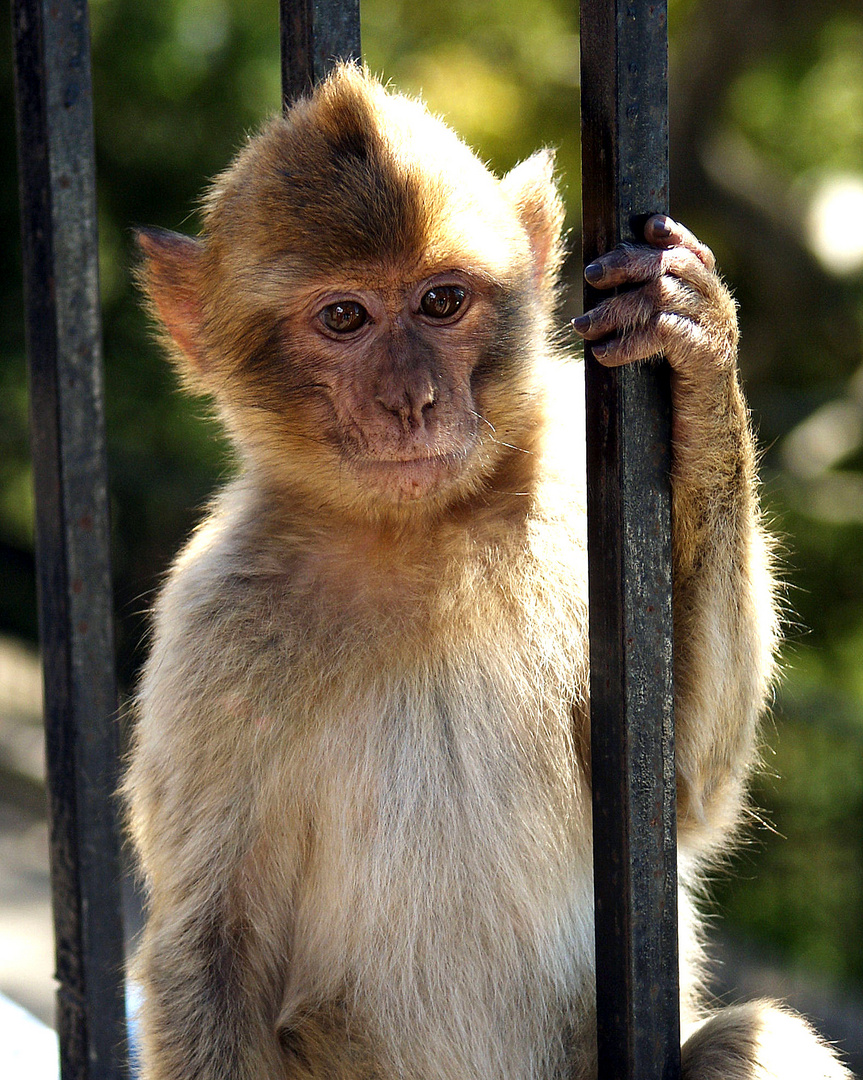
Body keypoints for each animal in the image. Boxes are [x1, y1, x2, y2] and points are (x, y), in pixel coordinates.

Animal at [126, 65, 851, 1080]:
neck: (418, 536)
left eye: (441, 303)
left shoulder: (571, 493)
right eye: (344, 317)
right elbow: (212, 943)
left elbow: (684, 793)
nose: (412, 401)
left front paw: (695, 352)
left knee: (757, 1036)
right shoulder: (213, 625)